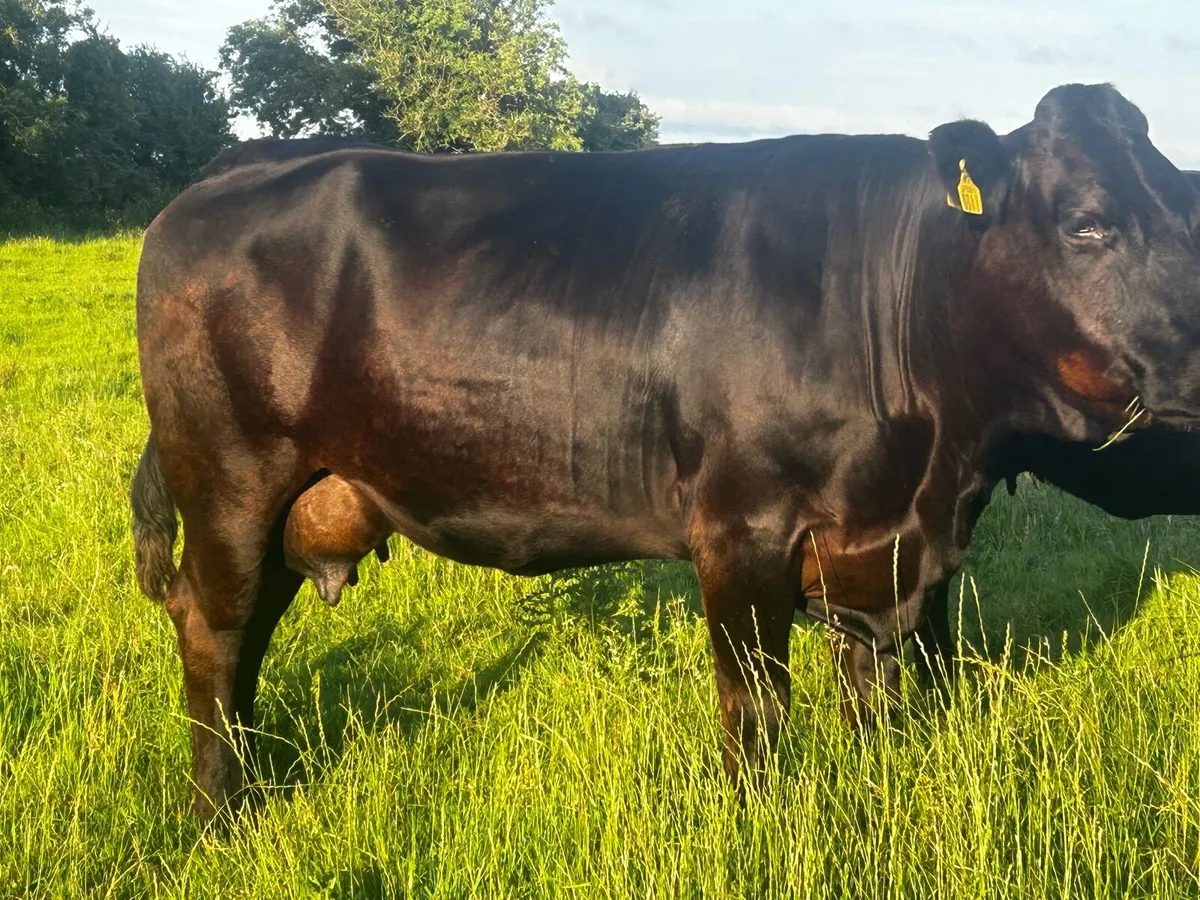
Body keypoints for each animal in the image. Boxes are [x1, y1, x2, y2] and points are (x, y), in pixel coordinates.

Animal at [130, 83, 1200, 820]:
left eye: (1186, 209)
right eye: (1086, 222)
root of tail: (232, 168)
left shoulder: (887, 549)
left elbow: (883, 695)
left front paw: (876, 792)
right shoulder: (739, 529)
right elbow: (756, 707)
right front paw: (763, 826)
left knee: (245, 635)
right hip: (228, 479)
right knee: (215, 630)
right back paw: (222, 813)